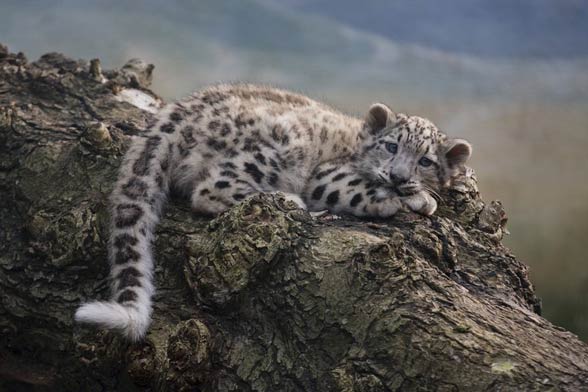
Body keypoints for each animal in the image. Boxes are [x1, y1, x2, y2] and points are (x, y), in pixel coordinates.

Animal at [77, 83, 474, 340]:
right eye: (391, 146)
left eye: (425, 161)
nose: (399, 176)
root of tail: (171, 118)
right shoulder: (326, 175)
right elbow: (359, 189)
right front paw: (406, 199)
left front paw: (421, 195)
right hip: (273, 149)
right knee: (209, 190)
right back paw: (290, 201)